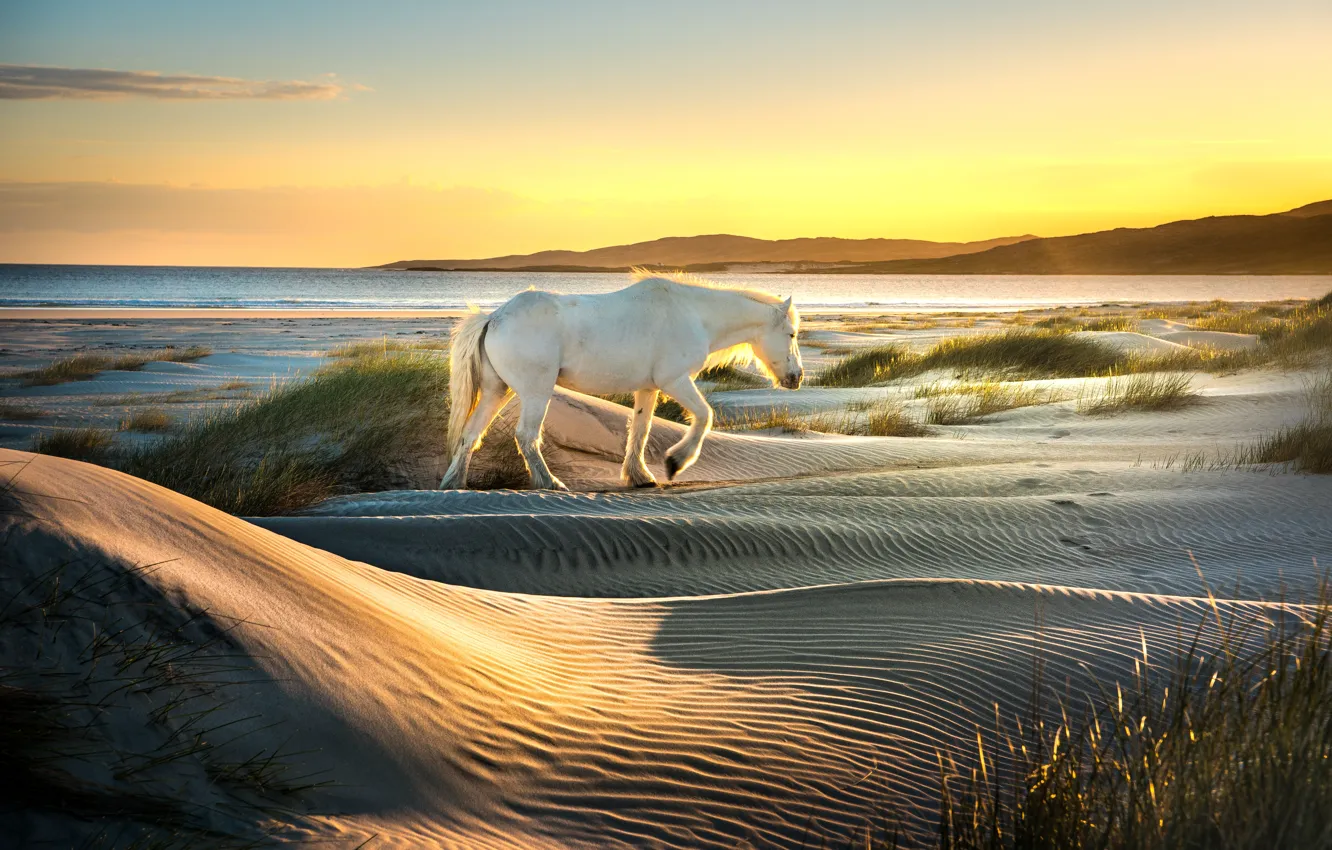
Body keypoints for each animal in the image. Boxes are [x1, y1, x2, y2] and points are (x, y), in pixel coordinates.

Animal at [439, 271, 804, 490]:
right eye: (792, 333)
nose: (797, 378)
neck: (694, 315)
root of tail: (494, 317)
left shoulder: (648, 387)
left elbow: (639, 431)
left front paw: (639, 475)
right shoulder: (674, 381)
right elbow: (704, 417)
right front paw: (675, 462)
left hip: (496, 391)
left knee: (470, 435)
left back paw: (453, 484)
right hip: (535, 392)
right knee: (527, 437)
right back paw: (551, 483)